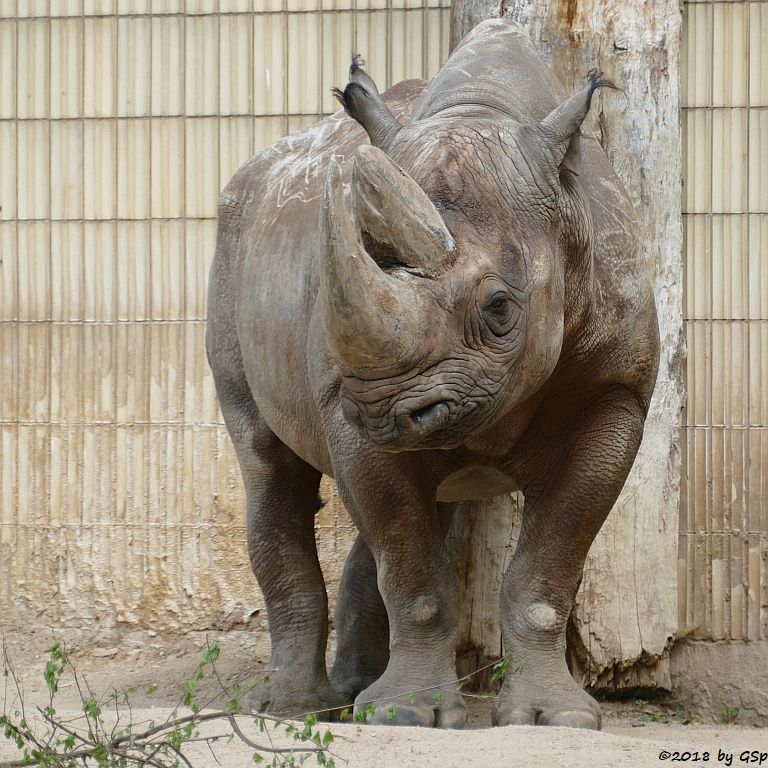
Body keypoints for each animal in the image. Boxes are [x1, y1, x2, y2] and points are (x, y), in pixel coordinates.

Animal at [206, 16, 660, 728]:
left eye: (500, 309)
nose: (382, 409)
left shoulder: (616, 392)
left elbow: (546, 569)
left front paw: (554, 718)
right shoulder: (343, 397)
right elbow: (413, 569)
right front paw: (405, 714)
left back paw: (350, 693)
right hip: (230, 251)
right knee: (268, 463)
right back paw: (296, 710)